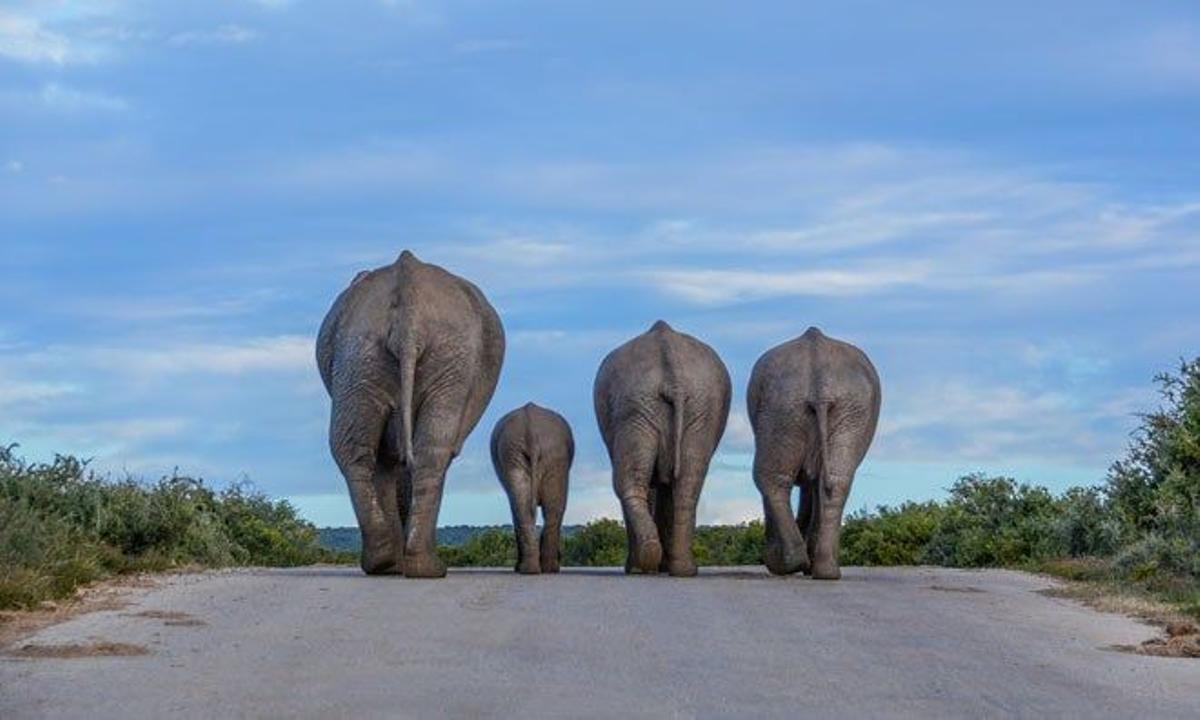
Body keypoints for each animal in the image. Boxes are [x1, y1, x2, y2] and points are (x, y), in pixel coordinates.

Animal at [316, 250, 505, 578]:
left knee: (357, 448)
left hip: (361, 354)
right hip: (441, 354)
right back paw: (421, 567)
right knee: (427, 450)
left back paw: (387, 563)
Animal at [490, 403, 574, 574]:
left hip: (534, 452)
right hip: (537, 453)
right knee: (546, 508)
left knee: (529, 507)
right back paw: (538, 569)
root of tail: (531, 431)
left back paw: (536, 569)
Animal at [594, 320, 731, 577]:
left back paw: (646, 566)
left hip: (642, 406)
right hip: (687, 407)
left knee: (632, 481)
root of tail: (673, 377)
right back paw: (680, 570)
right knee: (686, 484)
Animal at [747, 327, 880, 580]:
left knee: (771, 477)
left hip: (787, 407)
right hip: (839, 408)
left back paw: (797, 564)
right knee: (834, 481)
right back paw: (822, 570)